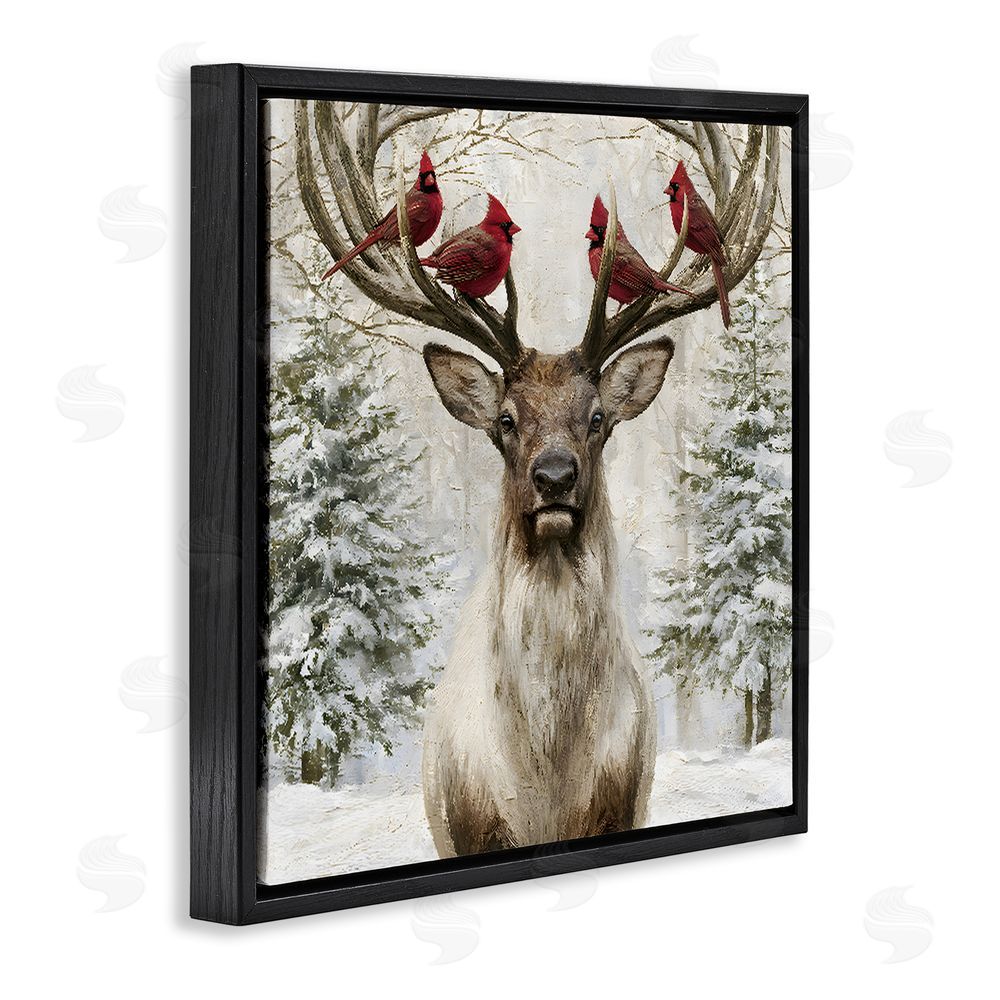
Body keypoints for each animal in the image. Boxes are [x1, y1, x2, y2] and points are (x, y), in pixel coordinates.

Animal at [294, 100, 781, 855]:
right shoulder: (468, 826)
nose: (555, 477)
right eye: (505, 419)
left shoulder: (623, 804)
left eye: (598, 417)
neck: (545, 783)